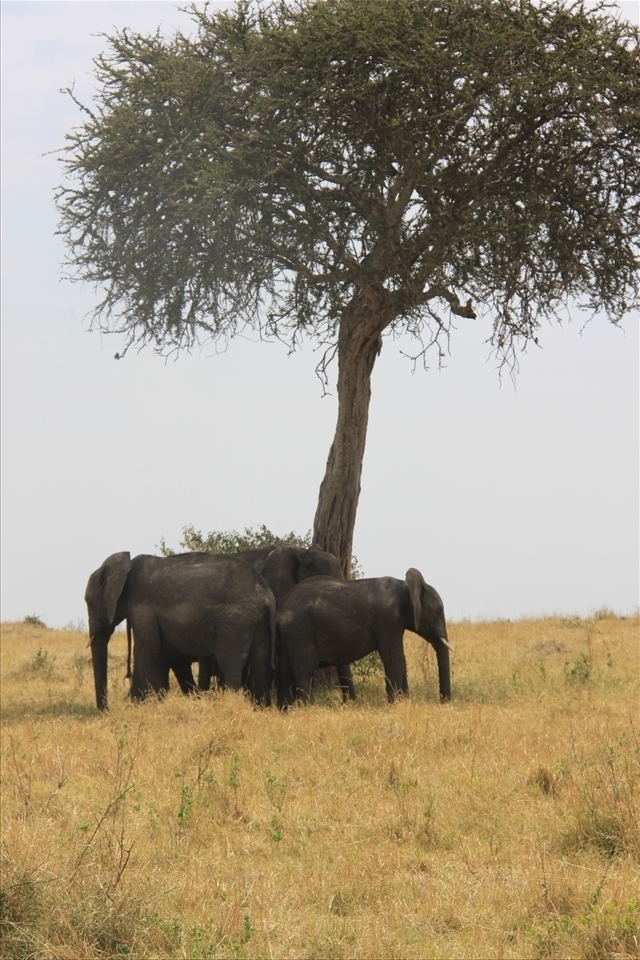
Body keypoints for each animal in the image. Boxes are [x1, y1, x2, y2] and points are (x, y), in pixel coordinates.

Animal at [85, 551, 276, 711]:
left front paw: (153, 705)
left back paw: (230, 706)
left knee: (229, 664)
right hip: (258, 623)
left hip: (235, 623)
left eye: (90, 603)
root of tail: (267, 597)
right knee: (260, 664)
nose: (105, 711)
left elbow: (147, 649)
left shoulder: (141, 603)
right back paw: (261, 710)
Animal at [277, 568, 453, 705]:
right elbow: (394, 658)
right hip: (300, 631)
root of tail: (282, 607)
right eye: (438, 612)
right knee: (305, 671)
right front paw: (395, 705)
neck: (406, 587)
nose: (444, 702)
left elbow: (401, 659)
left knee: (285, 672)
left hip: (290, 634)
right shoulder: (387, 619)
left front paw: (404, 702)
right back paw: (308, 708)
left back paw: (287, 710)